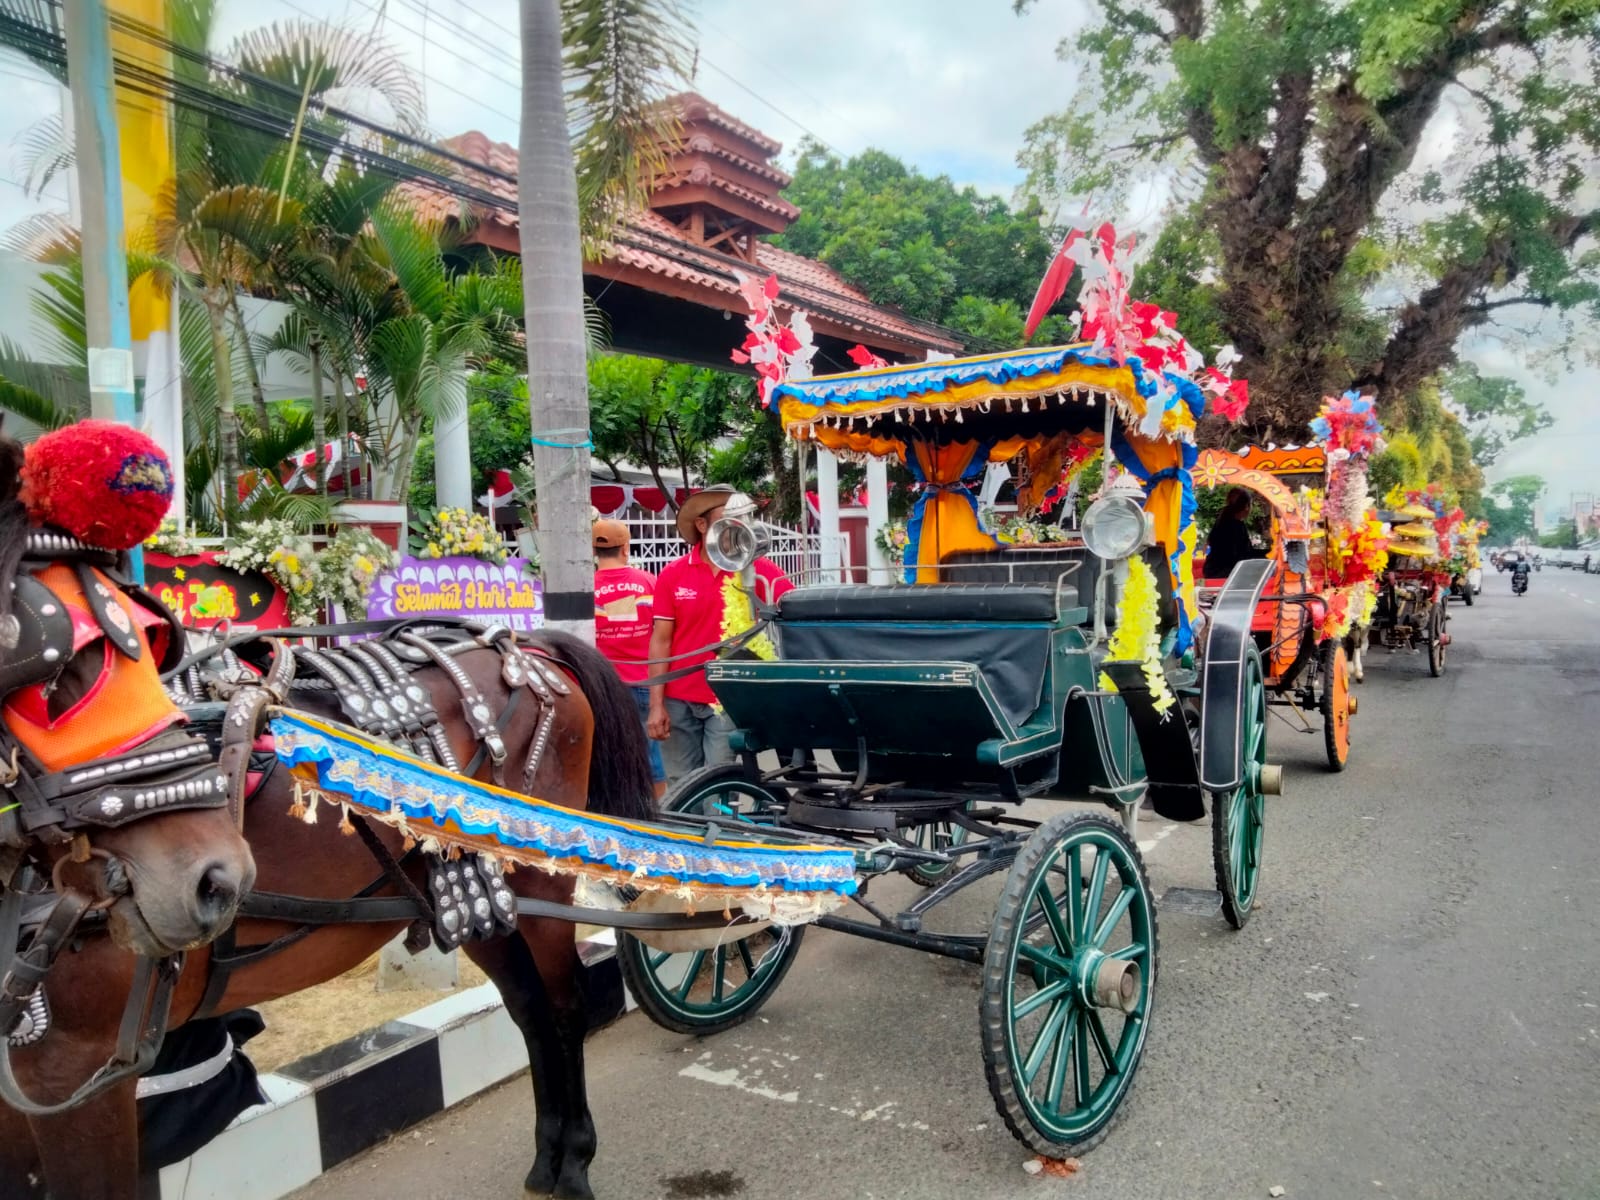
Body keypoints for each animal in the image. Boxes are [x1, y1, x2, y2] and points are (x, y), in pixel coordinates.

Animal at [0, 630, 652, 1200]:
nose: (202, 882)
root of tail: (523, 647)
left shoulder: (74, 1068)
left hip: (543, 884)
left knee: (565, 1010)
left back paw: (575, 1160)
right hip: (482, 902)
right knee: (530, 1012)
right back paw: (547, 1157)